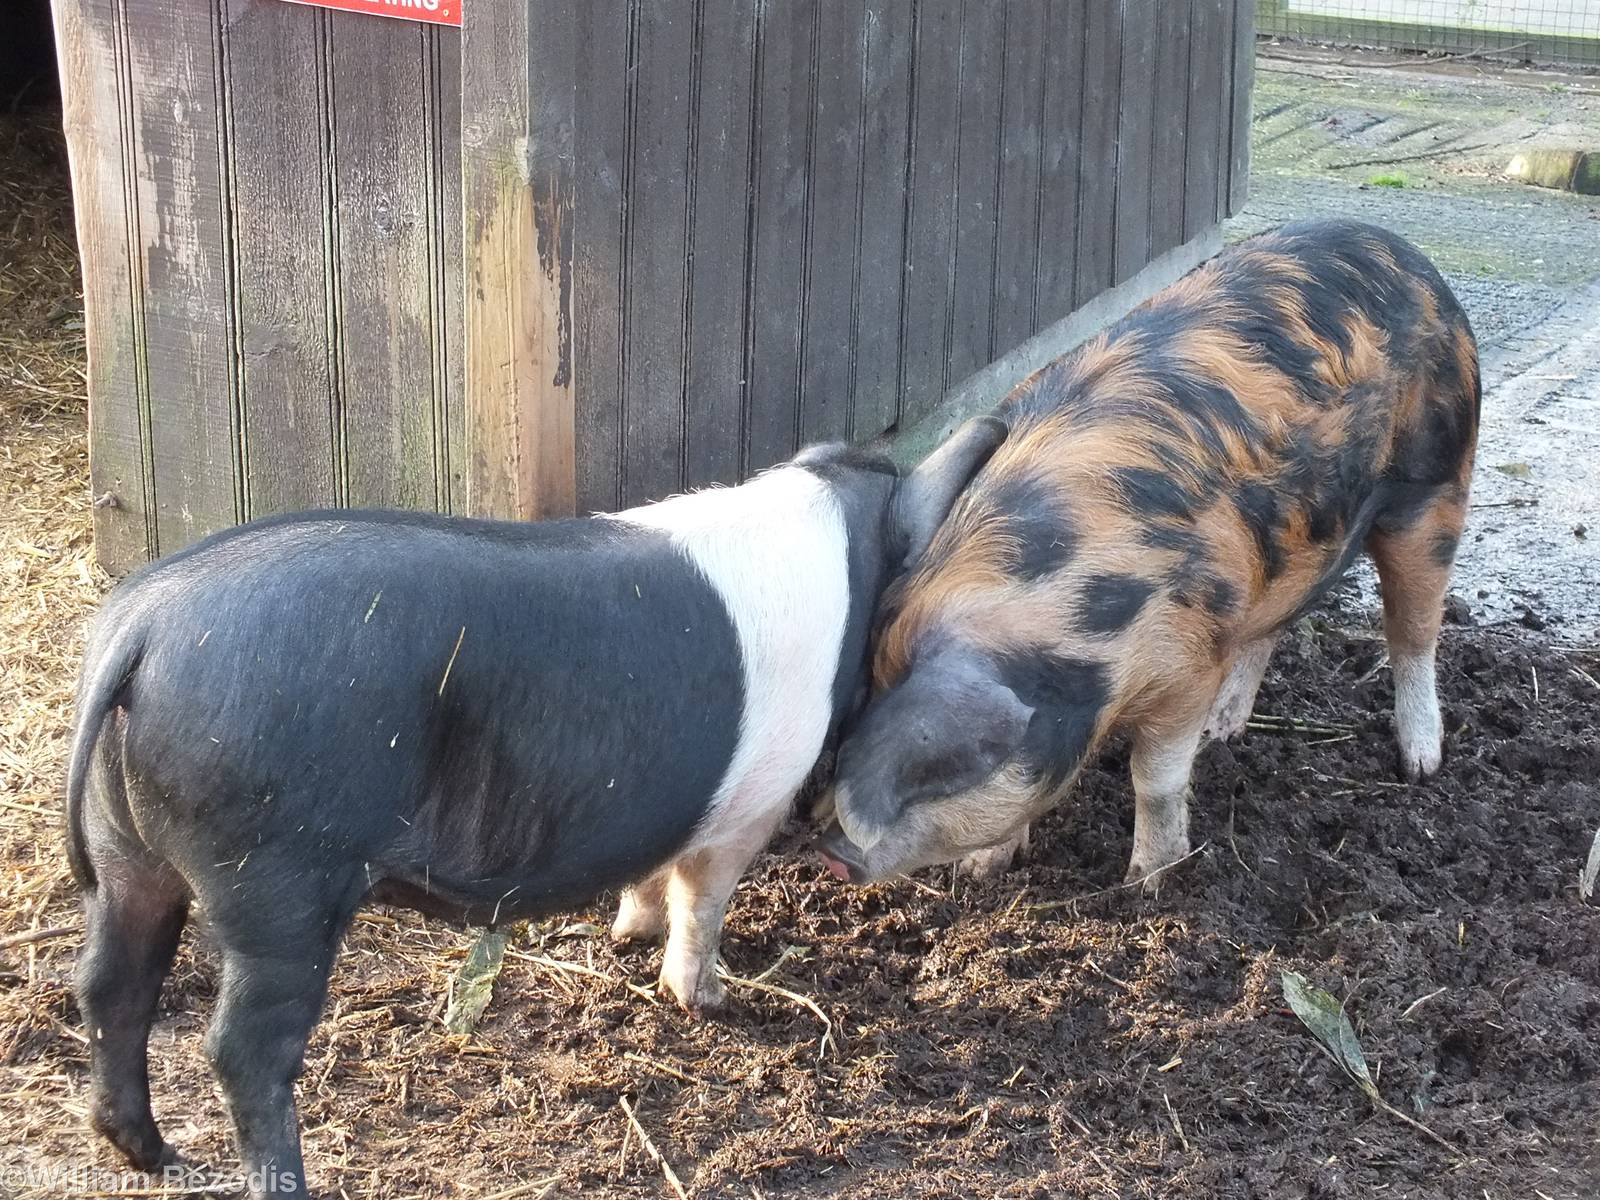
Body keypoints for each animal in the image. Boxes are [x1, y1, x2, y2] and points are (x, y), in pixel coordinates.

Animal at [64, 433, 1003, 1196]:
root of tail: (141, 628)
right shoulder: (752, 805)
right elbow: (703, 898)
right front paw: (708, 1003)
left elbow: (656, 870)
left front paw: (628, 934)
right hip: (277, 872)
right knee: (241, 1048)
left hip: (127, 851)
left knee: (109, 983)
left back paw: (151, 1156)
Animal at [817, 219, 1480, 887]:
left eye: (939, 770)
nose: (830, 851)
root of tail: (1407, 253)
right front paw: (983, 870)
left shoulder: (1188, 662)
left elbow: (1155, 779)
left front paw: (1145, 883)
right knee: (1274, 627)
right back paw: (1223, 732)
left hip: (1438, 484)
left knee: (1415, 630)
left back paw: (1419, 763)